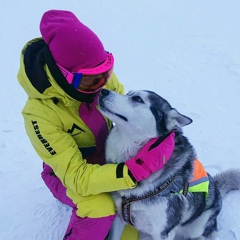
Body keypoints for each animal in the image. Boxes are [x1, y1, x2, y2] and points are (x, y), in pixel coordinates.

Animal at [98, 88, 240, 240]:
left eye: (137, 99)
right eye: (128, 93)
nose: (104, 91)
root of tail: (217, 190)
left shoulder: (163, 232)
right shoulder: (119, 217)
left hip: (198, 226)